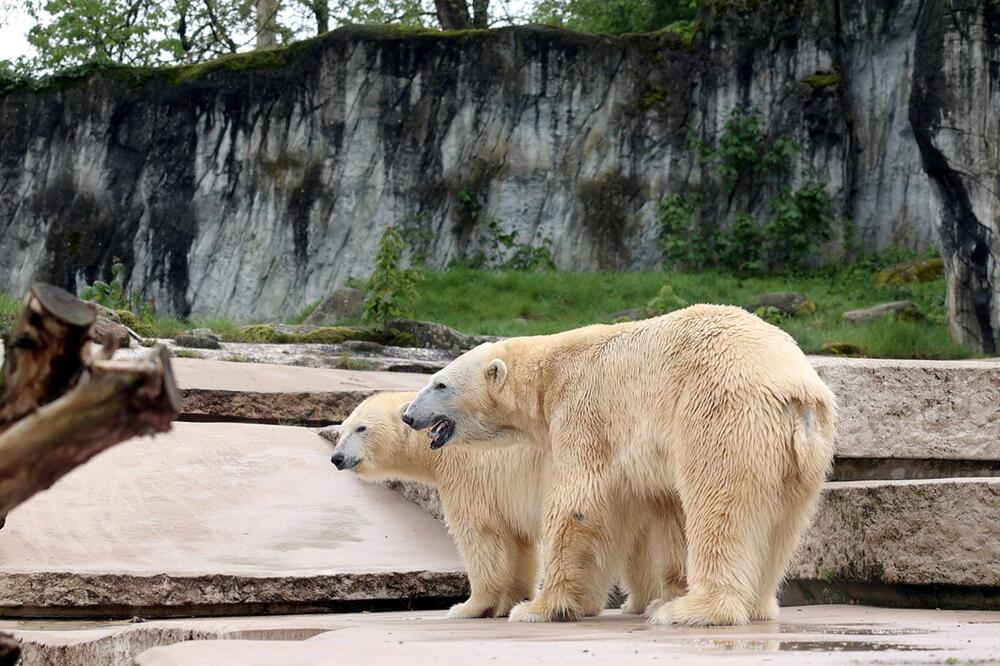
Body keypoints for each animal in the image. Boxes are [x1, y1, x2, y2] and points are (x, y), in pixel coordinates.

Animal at [332, 390, 684, 616]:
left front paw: (468, 607)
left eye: (362, 428)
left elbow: (481, 536)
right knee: (638, 544)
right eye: (342, 428)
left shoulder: (469, 473)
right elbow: (519, 545)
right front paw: (509, 601)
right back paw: (634, 603)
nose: (337, 457)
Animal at [404, 304, 836, 624]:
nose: (408, 416)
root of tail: (796, 391)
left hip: (721, 413)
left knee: (720, 507)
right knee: (783, 525)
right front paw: (653, 594)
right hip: (805, 456)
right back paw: (756, 606)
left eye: (440, 384)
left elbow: (577, 502)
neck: (549, 372)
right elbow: (665, 509)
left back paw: (694, 610)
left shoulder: (582, 410)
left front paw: (536, 608)